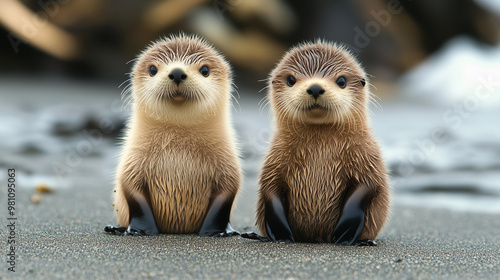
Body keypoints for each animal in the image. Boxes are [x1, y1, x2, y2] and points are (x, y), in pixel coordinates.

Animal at [107, 35, 242, 236]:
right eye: (153, 69)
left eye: (205, 70)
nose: (177, 72)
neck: (178, 150)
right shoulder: (131, 167)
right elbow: (134, 197)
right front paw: (142, 229)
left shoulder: (229, 171)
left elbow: (224, 201)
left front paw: (215, 231)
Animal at [258, 40, 390, 244]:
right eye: (291, 80)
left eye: (341, 81)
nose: (315, 88)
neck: (320, 150)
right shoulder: (274, 161)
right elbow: (270, 189)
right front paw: (281, 233)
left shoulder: (367, 157)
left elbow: (367, 185)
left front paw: (346, 230)